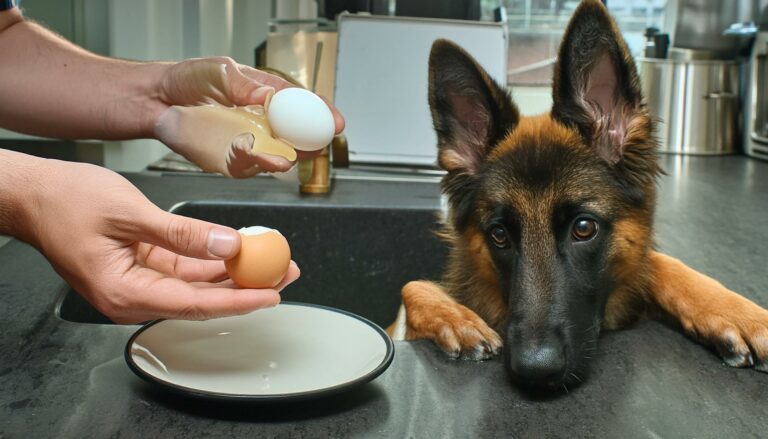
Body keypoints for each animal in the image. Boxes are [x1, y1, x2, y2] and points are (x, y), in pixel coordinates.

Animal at [392, 0, 768, 392]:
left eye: (584, 228)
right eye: (498, 235)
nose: (535, 372)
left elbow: (660, 262)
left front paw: (739, 314)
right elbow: (413, 286)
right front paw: (457, 320)